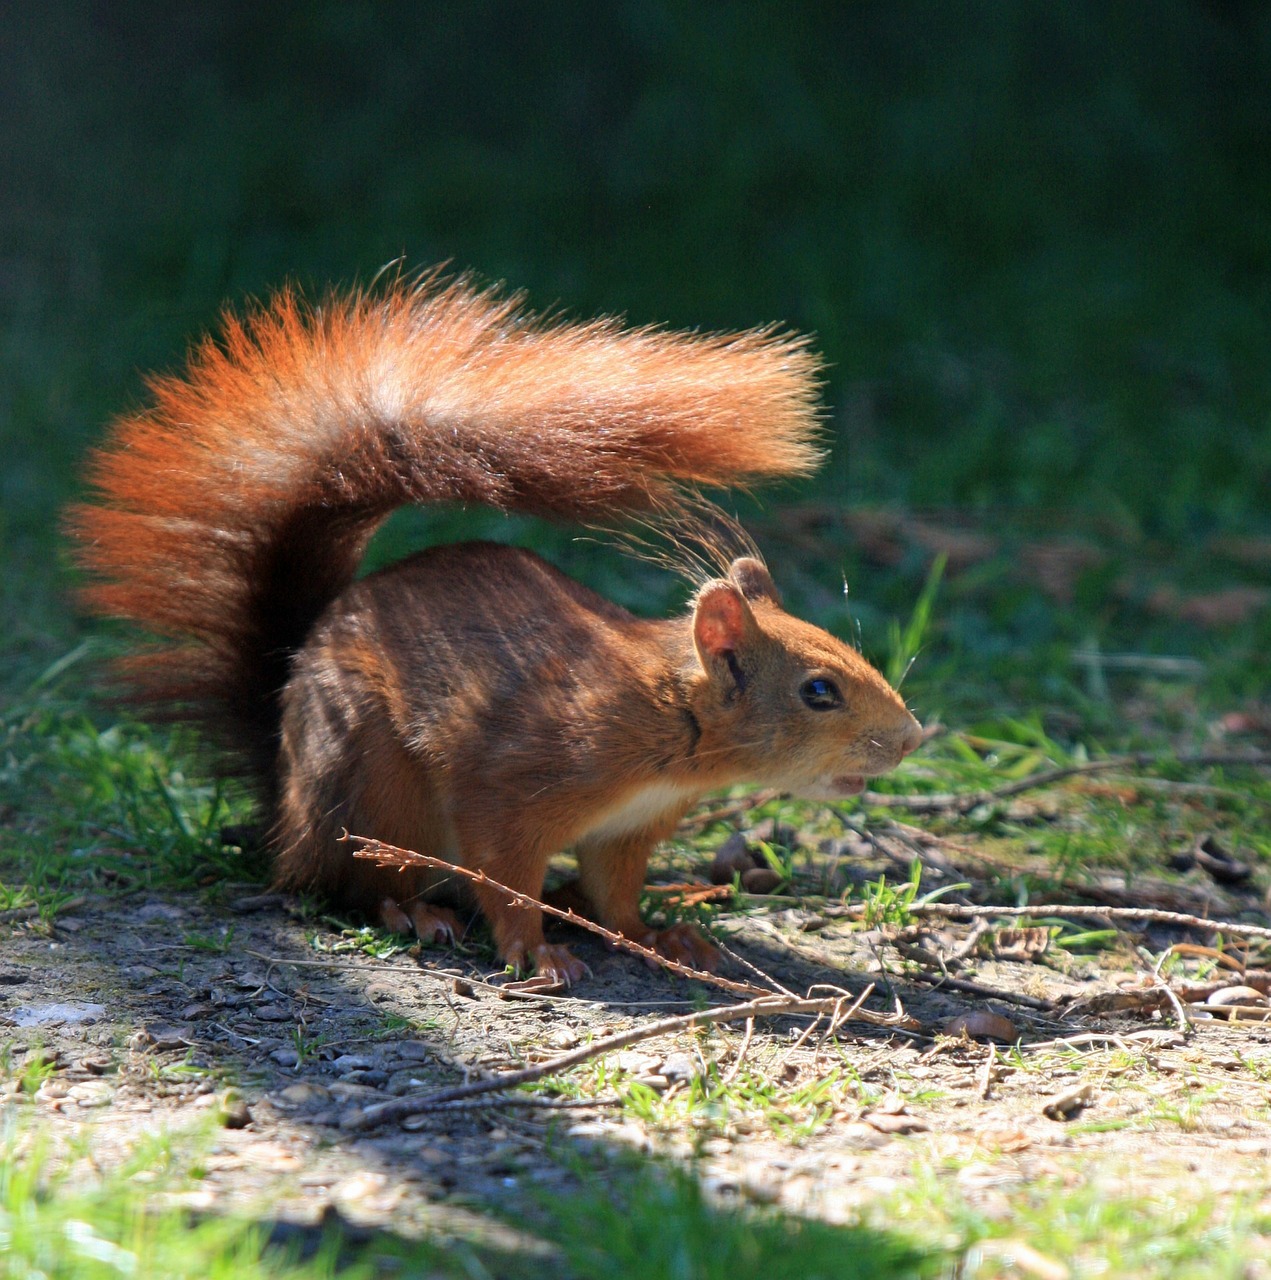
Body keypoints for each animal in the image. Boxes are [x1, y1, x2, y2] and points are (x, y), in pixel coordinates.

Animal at [69, 275, 916, 983]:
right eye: (818, 690)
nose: (911, 740)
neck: (669, 719)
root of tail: (283, 803)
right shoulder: (514, 787)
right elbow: (505, 878)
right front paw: (534, 951)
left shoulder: (626, 830)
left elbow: (616, 892)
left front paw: (651, 934)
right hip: (378, 789)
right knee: (350, 885)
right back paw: (414, 911)